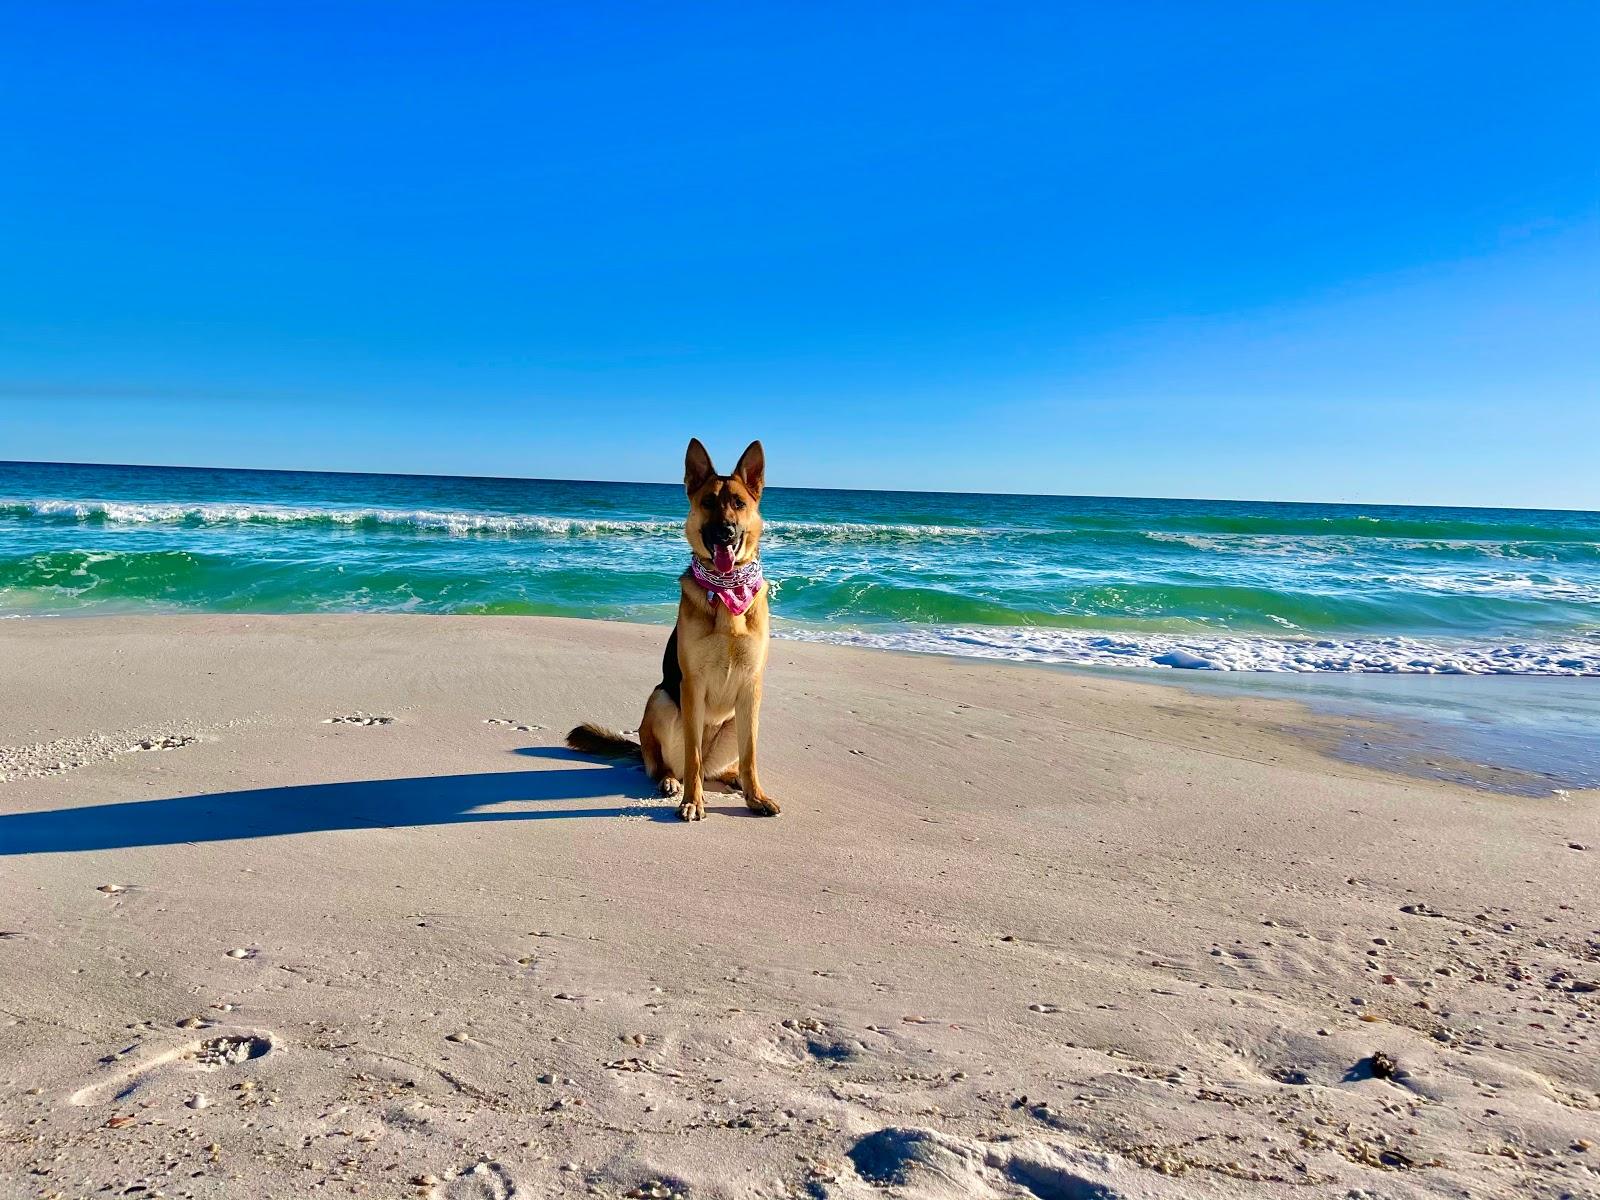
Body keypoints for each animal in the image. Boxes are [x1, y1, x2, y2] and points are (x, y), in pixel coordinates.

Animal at [569, 441, 780, 825]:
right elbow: (692, 756)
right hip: (662, 700)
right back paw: (670, 781)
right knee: (669, 765)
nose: (726, 532)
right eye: (708, 502)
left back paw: (734, 781)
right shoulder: (691, 684)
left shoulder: (751, 686)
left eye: (739, 503)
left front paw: (755, 796)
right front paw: (693, 802)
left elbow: (751, 756)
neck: (727, 592)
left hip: (735, 721)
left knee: (720, 767)